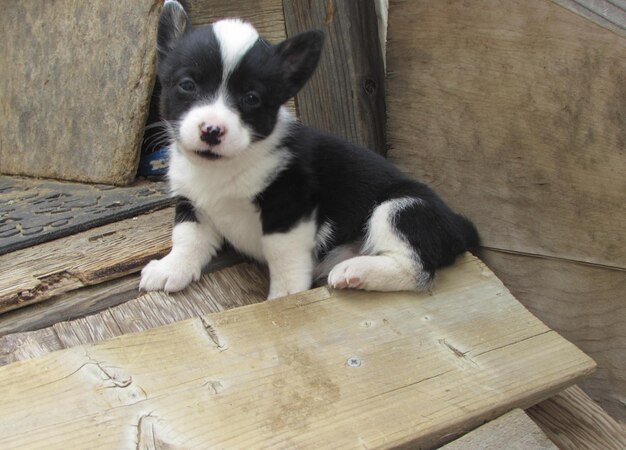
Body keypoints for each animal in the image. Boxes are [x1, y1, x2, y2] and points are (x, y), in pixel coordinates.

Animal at [139, 3, 476, 300]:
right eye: (187, 85)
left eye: (251, 98)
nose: (211, 130)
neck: (222, 168)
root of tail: (459, 227)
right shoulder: (192, 203)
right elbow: (187, 237)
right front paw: (172, 268)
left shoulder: (289, 208)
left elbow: (283, 257)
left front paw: (285, 297)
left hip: (400, 207)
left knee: (416, 269)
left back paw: (357, 271)